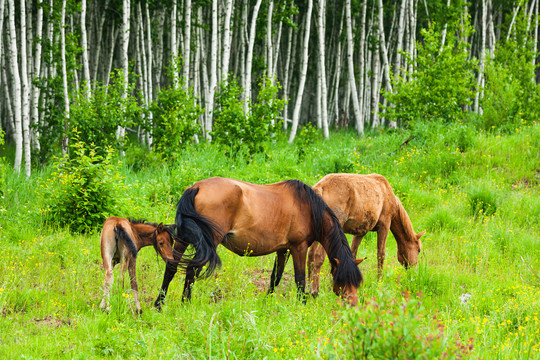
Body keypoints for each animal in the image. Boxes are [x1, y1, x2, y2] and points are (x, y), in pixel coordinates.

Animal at [153, 176, 362, 308]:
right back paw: (185, 303)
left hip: (183, 239)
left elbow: (275, 277)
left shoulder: (282, 250)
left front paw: (267, 302)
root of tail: (196, 188)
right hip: (208, 241)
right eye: (343, 280)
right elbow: (300, 280)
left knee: (171, 267)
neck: (308, 208)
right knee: (192, 270)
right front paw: (303, 305)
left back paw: (159, 304)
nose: (353, 305)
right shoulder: (299, 248)